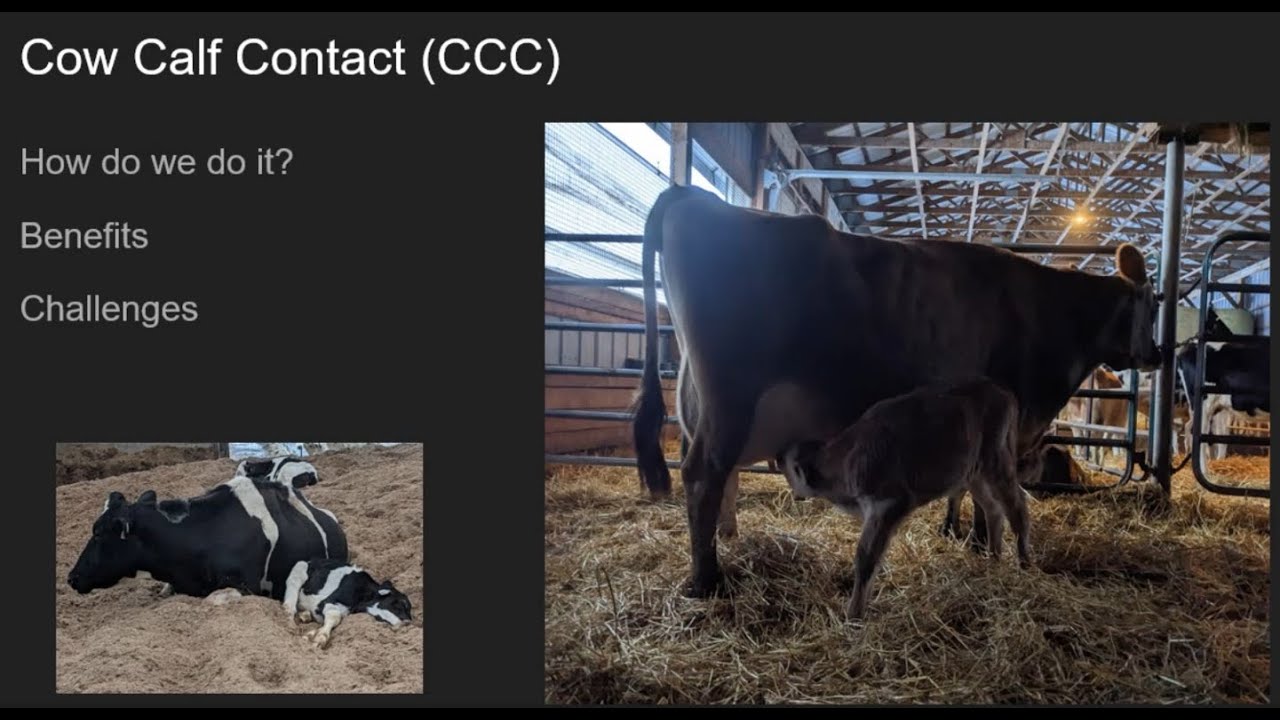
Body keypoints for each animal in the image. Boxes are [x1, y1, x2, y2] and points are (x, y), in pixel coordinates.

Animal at [283, 558, 413, 648]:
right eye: (401, 603)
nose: (407, 622)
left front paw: (311, 635)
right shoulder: (327, 602)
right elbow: (334, 616)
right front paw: (319, 638)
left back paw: (304, 616)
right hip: (299, 569)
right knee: (289, 604)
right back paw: (290, 623)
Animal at [777, 377, 1032, 620]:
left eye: (789, 467)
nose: (778, 459)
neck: (846, 458)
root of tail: (1002, 392)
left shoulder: (887, 506)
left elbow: (866, 558)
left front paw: (854, 614)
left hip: (997, 464)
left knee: (1017, 507)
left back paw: (1024, 564)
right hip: (973, 474)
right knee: (993, 509)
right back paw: (993, 560)